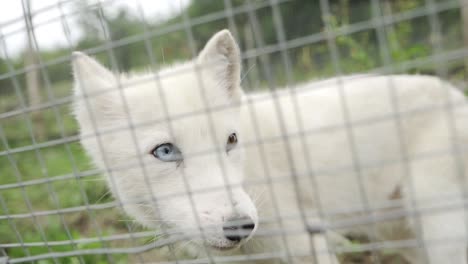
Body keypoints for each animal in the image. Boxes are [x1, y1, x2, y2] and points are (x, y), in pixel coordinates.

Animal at [72, 29, 468, 262]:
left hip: (441, 230)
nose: (240, 226)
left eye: (231, 140)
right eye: (165, 152)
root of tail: (455, 94)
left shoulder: (304, 246)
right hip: (403, 235)